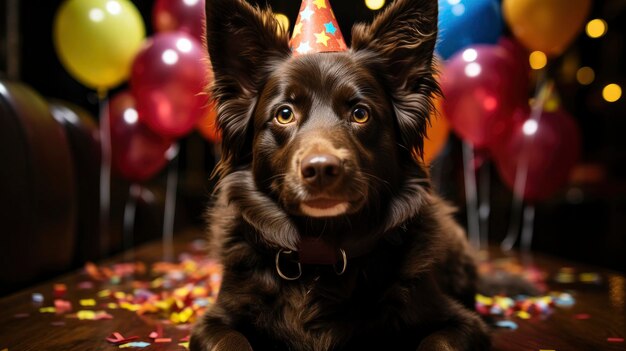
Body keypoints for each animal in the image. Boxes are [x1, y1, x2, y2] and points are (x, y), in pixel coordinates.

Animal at [188, 0, 490, 350]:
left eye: (360, 113)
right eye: (284, 114)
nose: (321, 169)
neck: (320, 256)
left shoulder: (462, 323)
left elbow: (439, 342)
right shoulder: (214, 322)